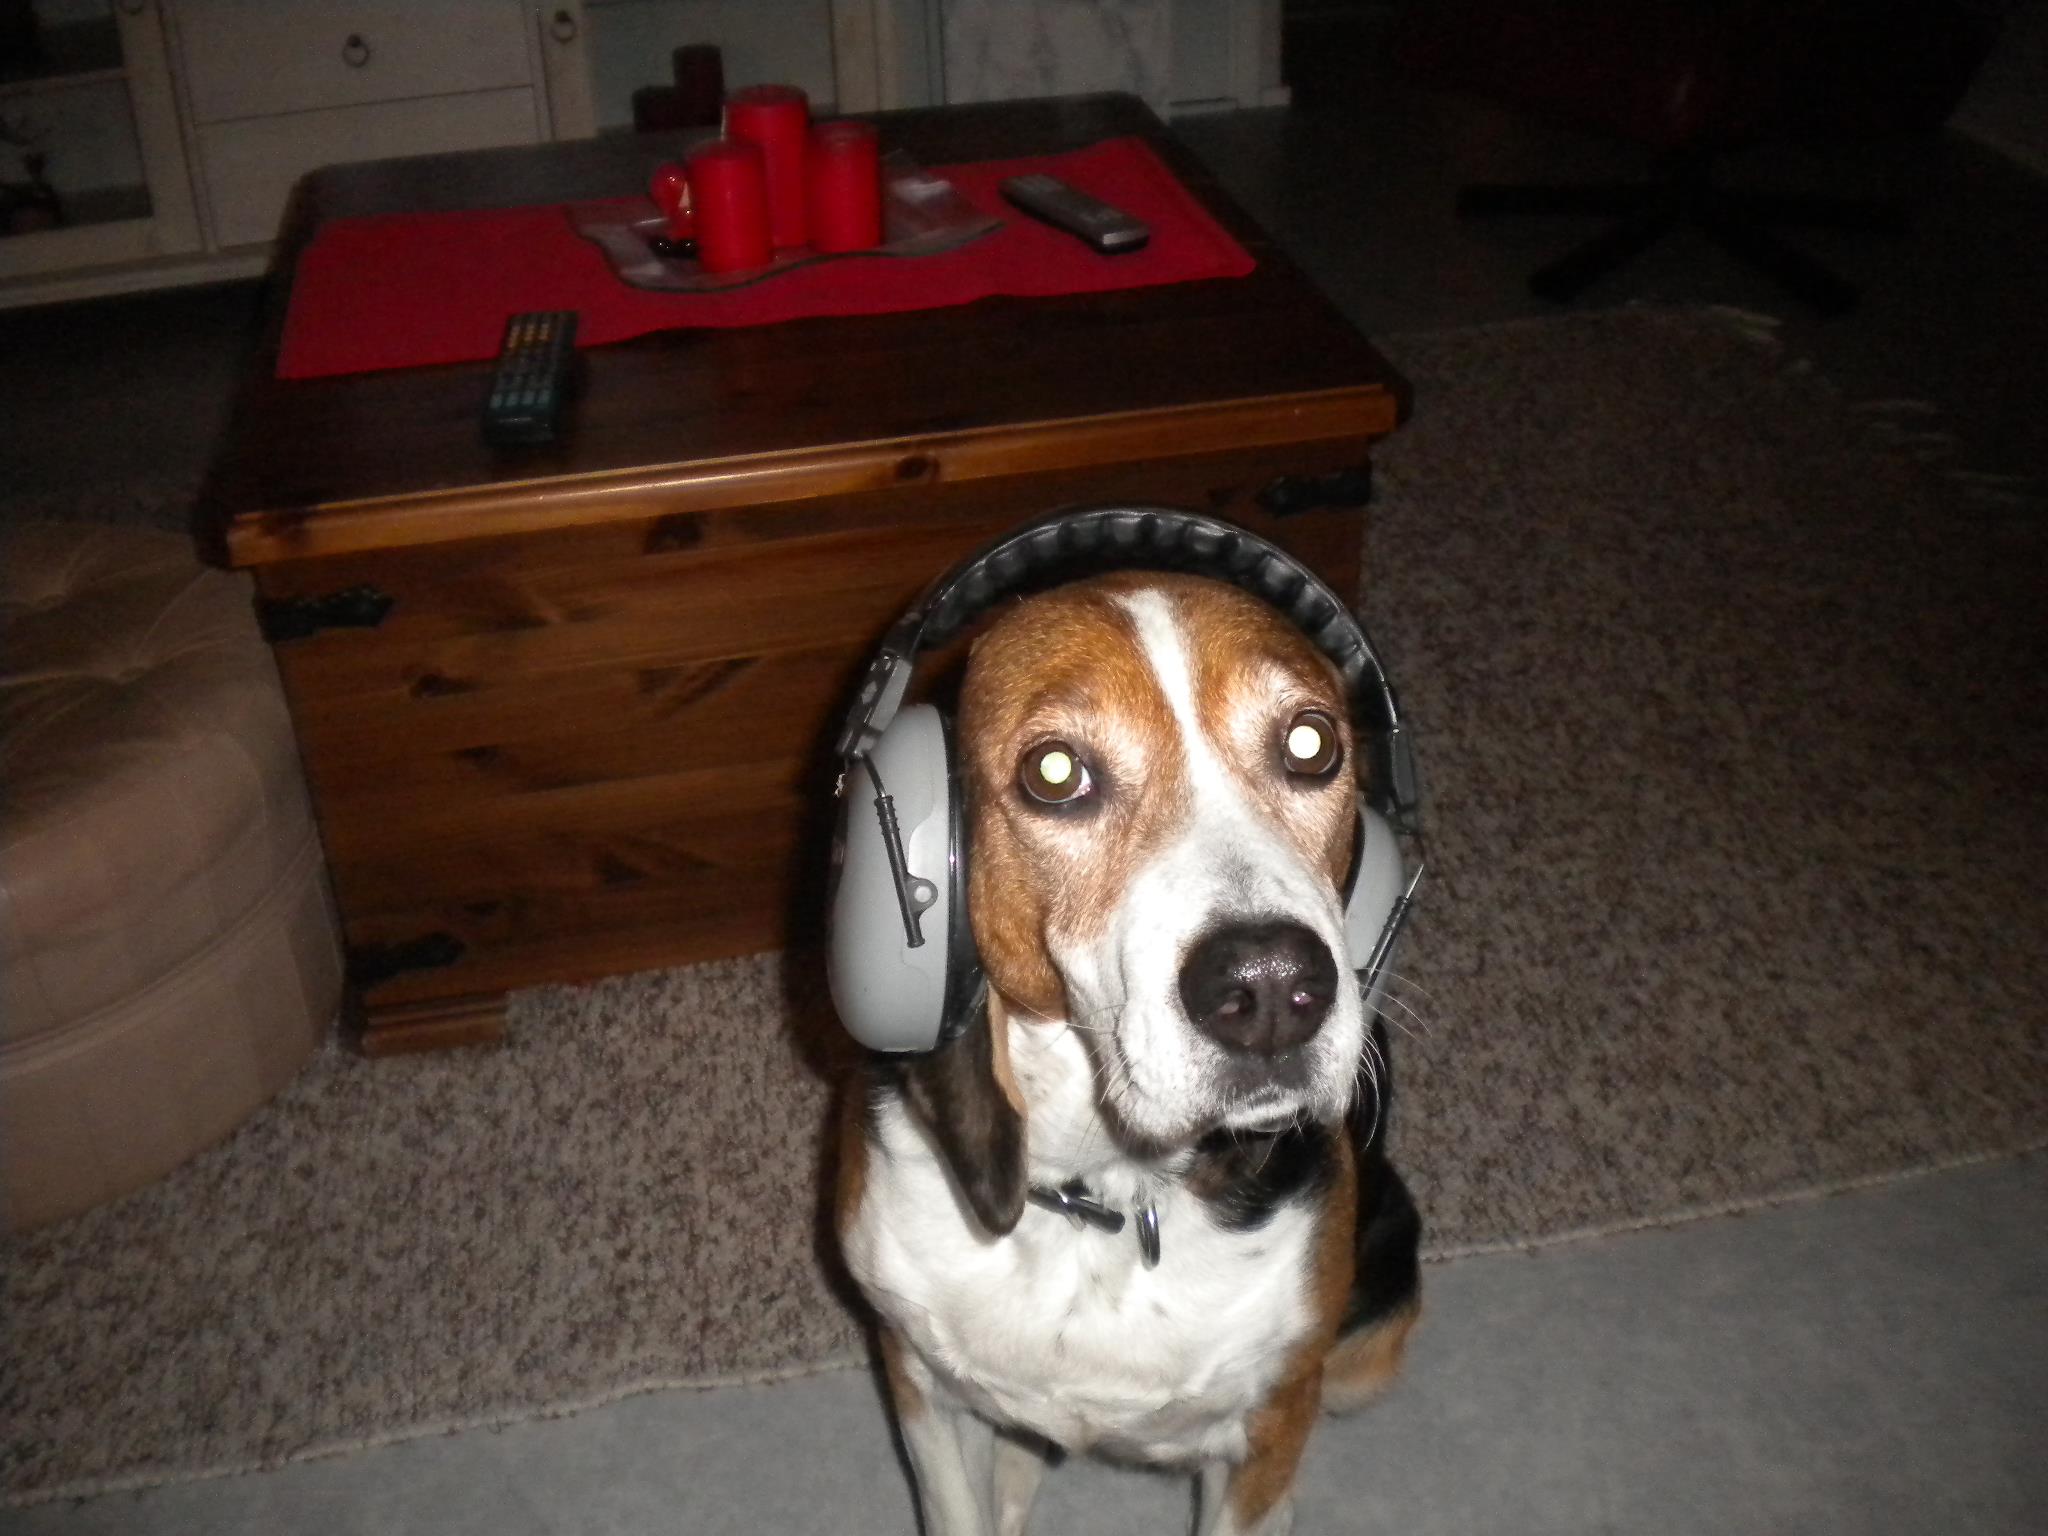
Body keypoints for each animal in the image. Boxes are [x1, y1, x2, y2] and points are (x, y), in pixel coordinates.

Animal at [835, 563, 1423, 1536]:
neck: (1099, 1198)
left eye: (1311, 744)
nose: (1272, 989)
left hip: (1369, 1348)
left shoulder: (1271, 1426)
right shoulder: (916, 1382)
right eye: (1055, 772)